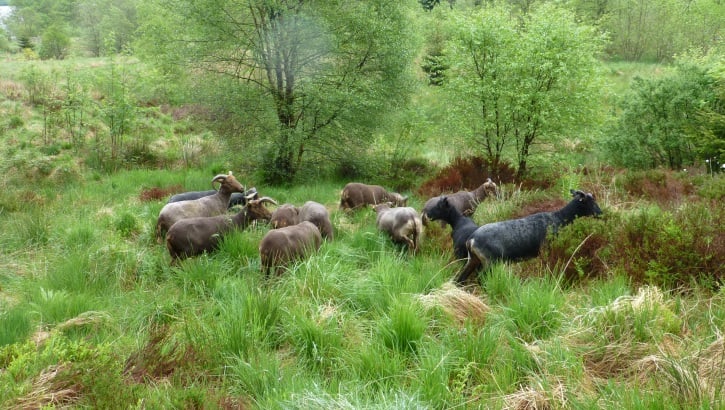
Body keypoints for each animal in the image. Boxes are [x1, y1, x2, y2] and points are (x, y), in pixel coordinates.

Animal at [452, 189, 600, 286]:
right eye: (590, 202)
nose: (601, 213)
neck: (559, 218)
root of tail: (471, 239)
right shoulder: (546, 250)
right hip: (490, 261)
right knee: (481, 278)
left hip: (473, 259)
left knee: (461, 278)